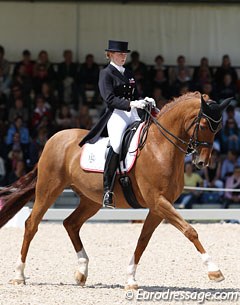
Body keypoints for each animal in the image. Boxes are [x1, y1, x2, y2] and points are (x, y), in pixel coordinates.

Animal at [0, 91, 231, 286]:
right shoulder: (158, 201)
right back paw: (19, 275)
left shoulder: (158, 207)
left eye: (218, 129)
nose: (202, 163)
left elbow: (143, 240)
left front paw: (130, 279)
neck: (160, 147)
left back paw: (81, 272)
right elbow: (190, 231)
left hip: (90, 200)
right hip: (48, 189)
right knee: (31, 224)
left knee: (71, 224)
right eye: (203, 126)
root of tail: (53, 139)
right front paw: (214, 270)